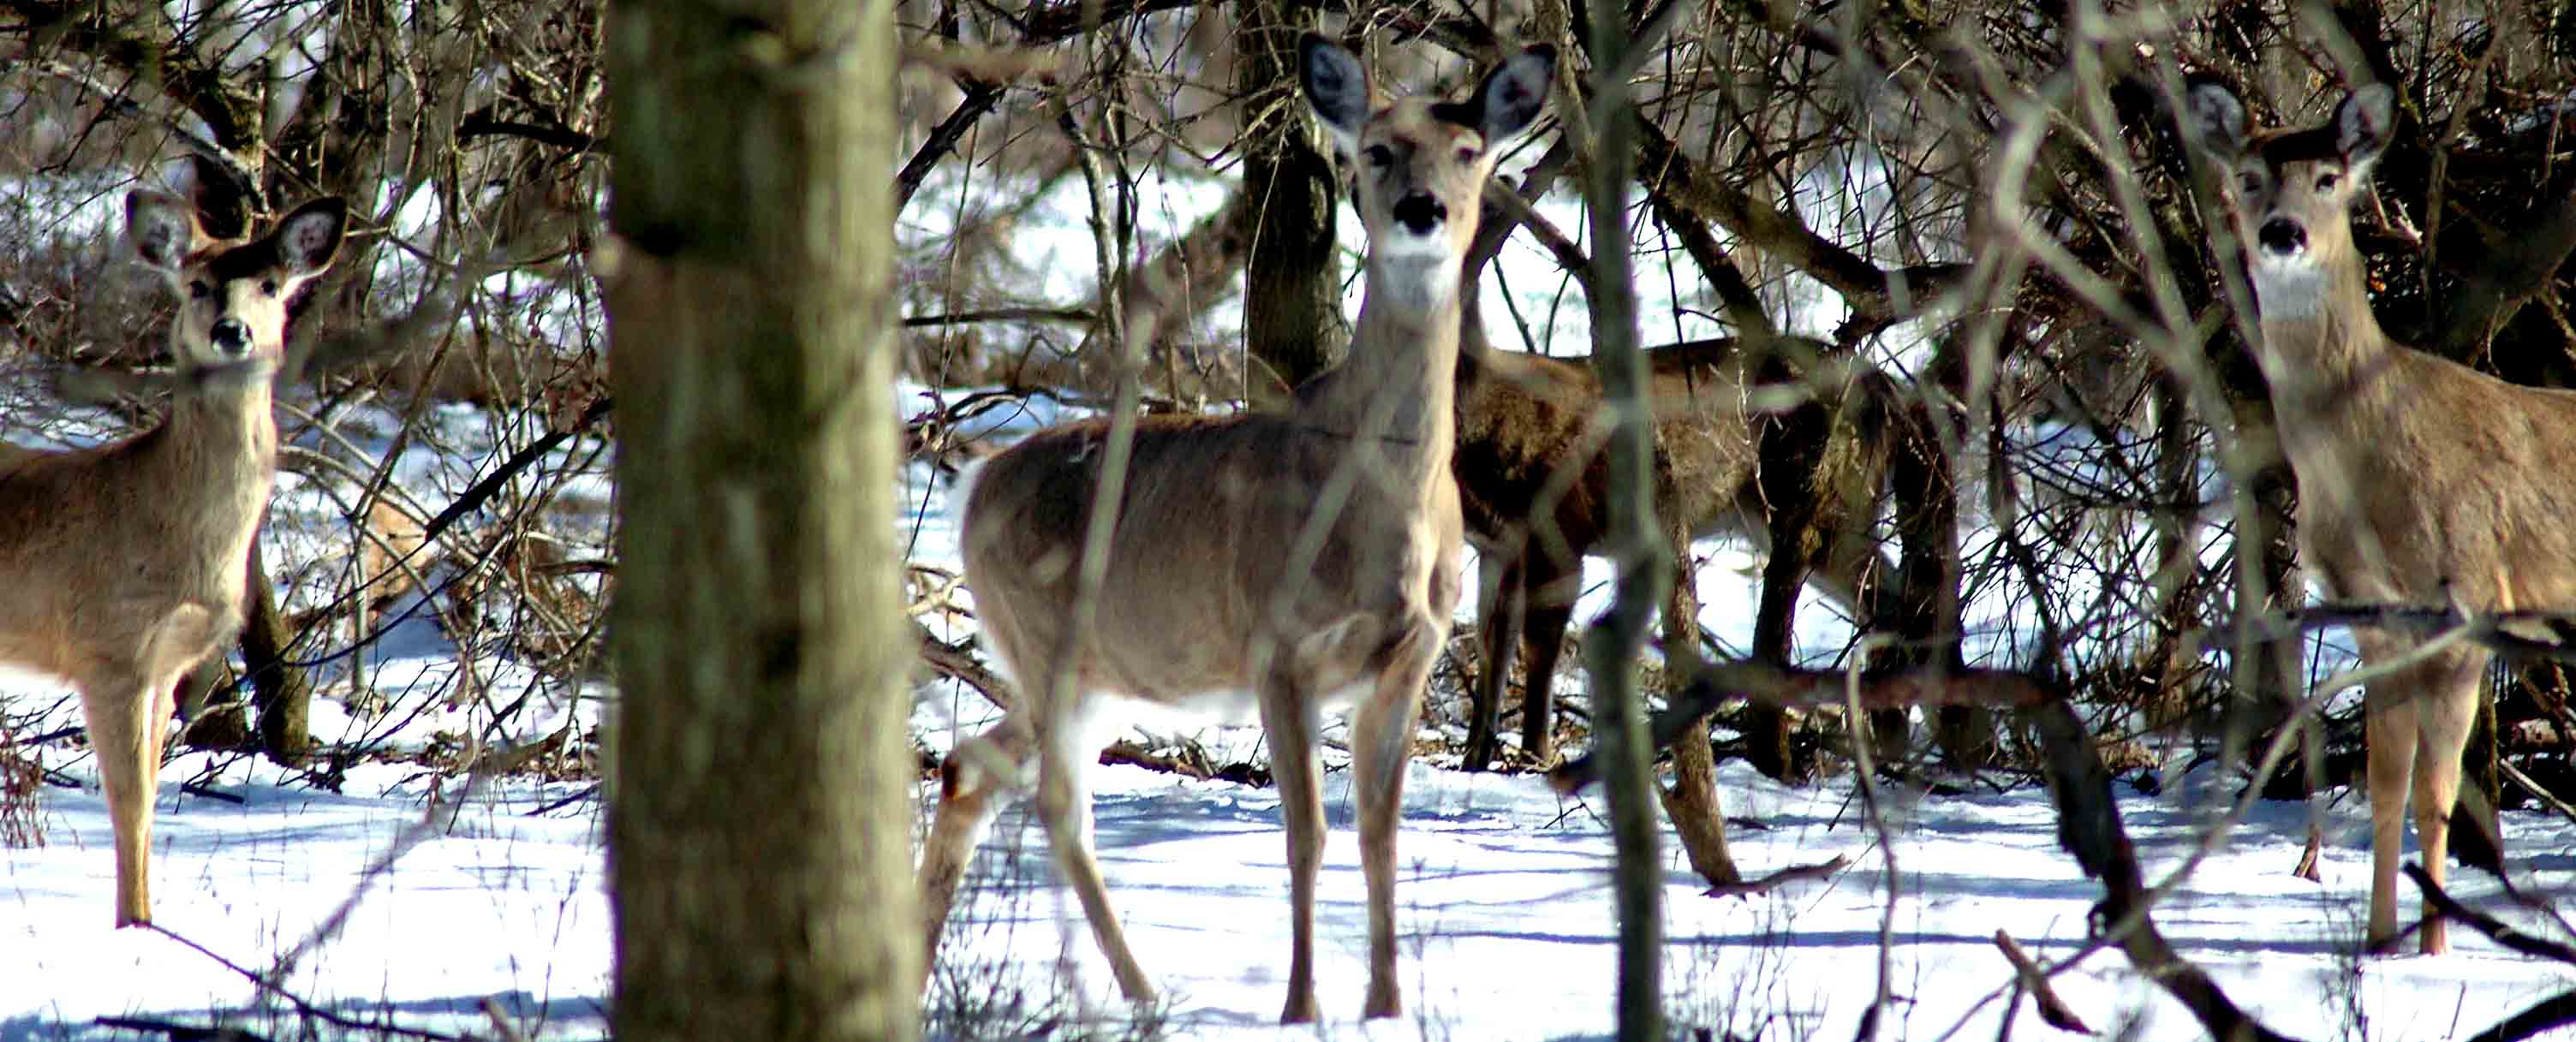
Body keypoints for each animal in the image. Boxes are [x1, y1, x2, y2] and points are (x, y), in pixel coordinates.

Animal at [0, 186, 350, 926]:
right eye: (196, 284)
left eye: (270, 284)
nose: (231, 331)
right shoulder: (108, 646)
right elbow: (129, 803)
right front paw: (135, 928)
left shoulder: (168, 664)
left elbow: (152, 799)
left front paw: (146, 922)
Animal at [911, 36, 1535, 1018]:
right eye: (1375, 149)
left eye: (1470, 151)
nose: (1422, 209)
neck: (1382, 508)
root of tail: (973, 484)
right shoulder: (1277, 645)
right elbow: (1306, 832)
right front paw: (1300, 1007)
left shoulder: (1409, 656)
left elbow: (1380, 834)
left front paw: (1385, 1006)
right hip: (1052, 644)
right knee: (1056, 804)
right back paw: (1142, 991)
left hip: (1093, 669)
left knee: (969, 767)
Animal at [2194, 85, 2576, 951]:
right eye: (2249, 175)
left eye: (2329, 178)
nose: (2283, 232)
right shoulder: (2372, 616)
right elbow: (2385, 786)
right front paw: (2377, 938)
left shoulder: (2469, 602)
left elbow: (2437, 794)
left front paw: (2434, 945)